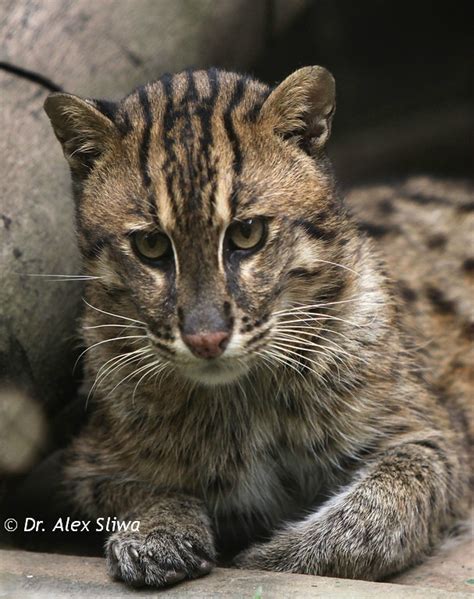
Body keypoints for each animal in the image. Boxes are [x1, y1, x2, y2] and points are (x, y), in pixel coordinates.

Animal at [43, 68, 470, 588]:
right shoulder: (86, 461)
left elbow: (379, 513)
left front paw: (266, 558)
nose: (206, 339)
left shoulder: (433, 437)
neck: (245, 397)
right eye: (150, 245)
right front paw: (159, 532)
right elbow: (140, 491)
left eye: (248, 234)